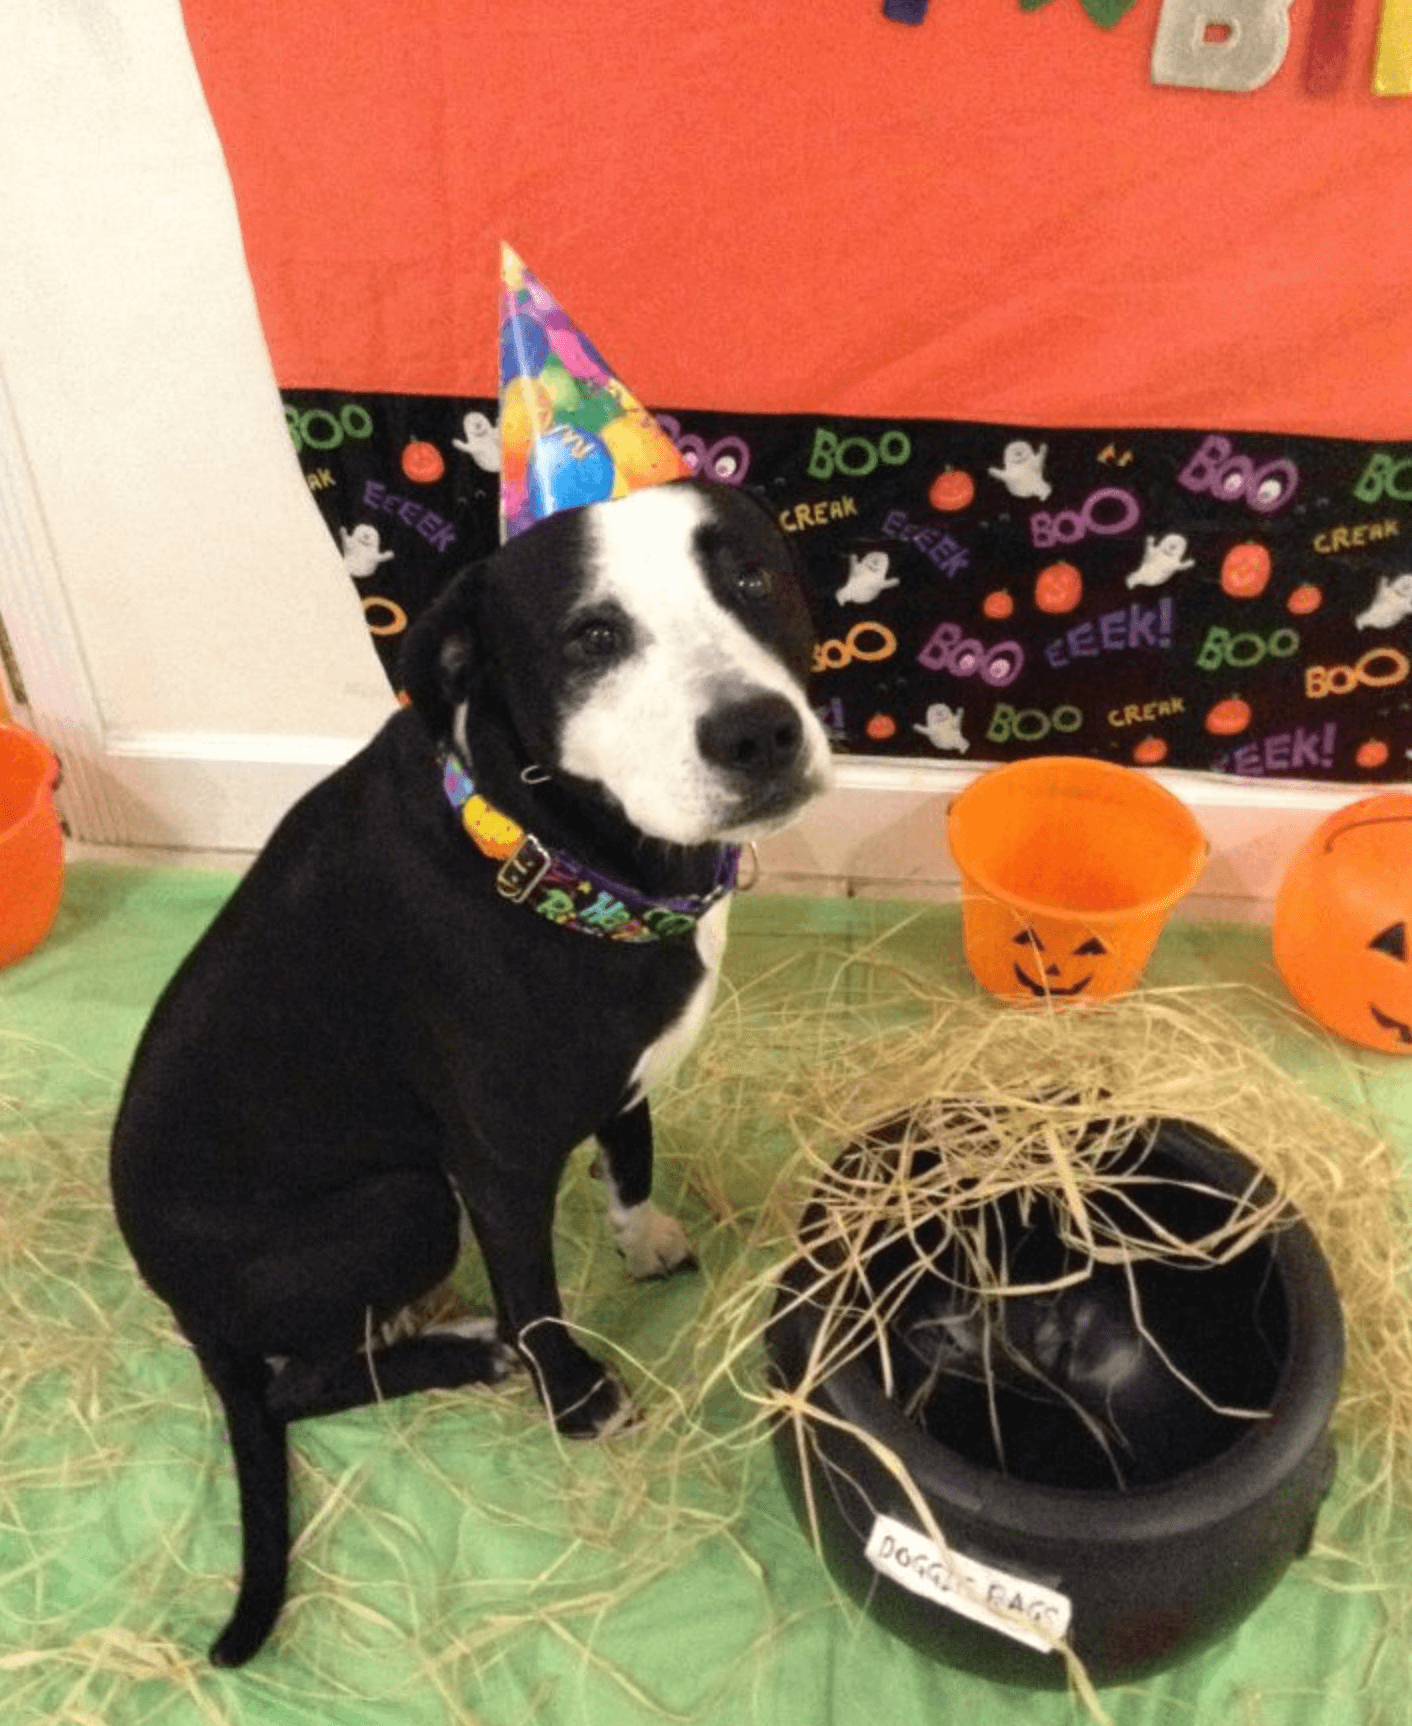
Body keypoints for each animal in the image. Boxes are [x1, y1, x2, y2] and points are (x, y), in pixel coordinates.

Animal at [113, 479, 835, 1663]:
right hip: (402, 1206)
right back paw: (471, 1351)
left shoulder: (622, 1069)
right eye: (592, 638)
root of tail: (178, 1301)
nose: (756, 731)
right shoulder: (494, 1167)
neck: (561, 848)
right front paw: (575, 1397)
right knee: (296, 1386)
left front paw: (639, 1235)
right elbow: (535, 1295)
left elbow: (631, 1148)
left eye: (750, 577)